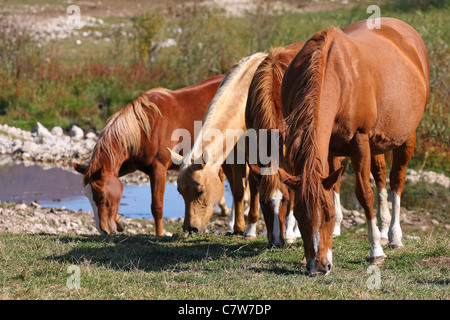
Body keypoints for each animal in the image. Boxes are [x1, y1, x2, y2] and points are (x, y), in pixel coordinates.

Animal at [73, 75, 225, 235]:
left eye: (101, 195)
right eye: (87, 195)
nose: (103, 230)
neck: (145, 128)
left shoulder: (159, 169)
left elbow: (157, 207)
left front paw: (159, 235)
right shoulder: (128, 166)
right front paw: (120, 220)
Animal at [168, 52, 268, 238]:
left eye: (200, 191)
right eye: (180, 192)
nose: (190, 229)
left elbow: (254, 187)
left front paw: (250, 229)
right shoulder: (236, 155)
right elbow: (238, 190)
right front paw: (238, 228)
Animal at [244, 43, 304, 248]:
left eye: (284, 200)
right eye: (263, 202)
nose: (277, 241)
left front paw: (290, 233)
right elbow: (254, 184)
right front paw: (250, 230)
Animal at [278, 18, 428, 276]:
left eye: (328, 215)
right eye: (299, 215)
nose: (319, 267)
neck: (338, 79)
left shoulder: (359, 140)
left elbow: (364, 194)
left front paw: (376, 251)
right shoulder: (318, 145)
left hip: (406, 137)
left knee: (396, 180)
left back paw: (394, 237)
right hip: (376, 142)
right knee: (380, 176)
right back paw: (383, 228)